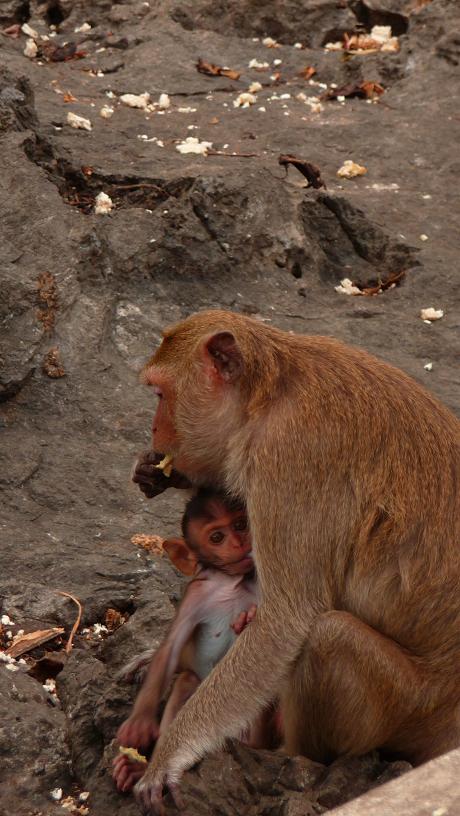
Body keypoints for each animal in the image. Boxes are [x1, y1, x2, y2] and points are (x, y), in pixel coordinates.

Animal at [113, 487, 277, 795]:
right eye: (217, 537)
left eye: (240, 524)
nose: (239, 542)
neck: (234, 583)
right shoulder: (197, 593)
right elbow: (171, 649)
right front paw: (140, 722)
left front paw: (246, 620)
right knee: (187, 680)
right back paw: (142, 767)